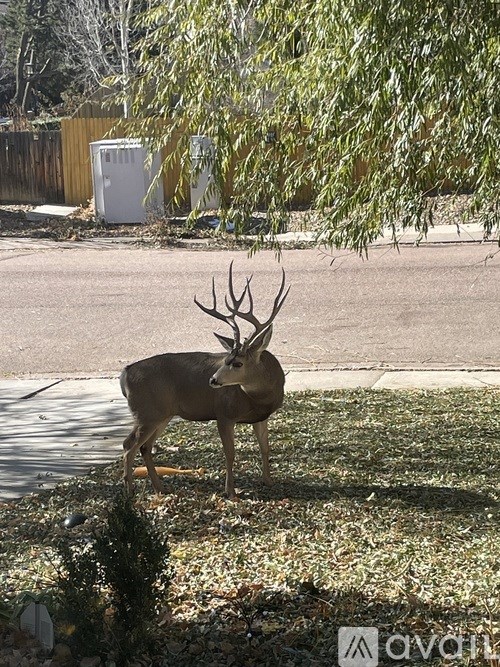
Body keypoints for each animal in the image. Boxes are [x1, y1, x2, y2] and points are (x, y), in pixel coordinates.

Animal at [120, 262, 290, 499]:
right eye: (226, 359)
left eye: (237, 363)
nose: (213, 380)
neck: (259, 397)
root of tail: (125, 373)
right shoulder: (224, 414)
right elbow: (230, 453)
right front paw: (231, 491)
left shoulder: (261, 417)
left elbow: (265, 447)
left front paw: (269, 481)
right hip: (146, 412)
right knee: (129, 445)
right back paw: (129, 492)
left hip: (162, 414)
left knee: (145, 447)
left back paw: (160, 488)